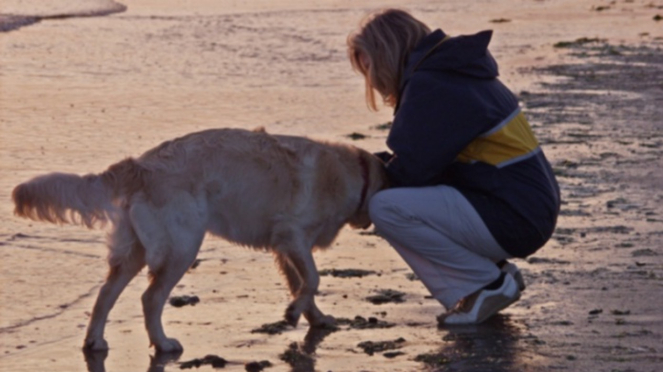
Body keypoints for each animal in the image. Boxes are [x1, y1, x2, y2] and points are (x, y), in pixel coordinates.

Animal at [11, 128, 390, 352]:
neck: (351, 173)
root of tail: (139, 166)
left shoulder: (283, 248)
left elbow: (302, 283)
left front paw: (312, 316)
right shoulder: (292, 234)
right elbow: (312, 278)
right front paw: (295, 311)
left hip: (135, 251)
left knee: (105, 295)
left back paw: (95, 341)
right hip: (182, 246)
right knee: (150, 298)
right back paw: (163, 343)